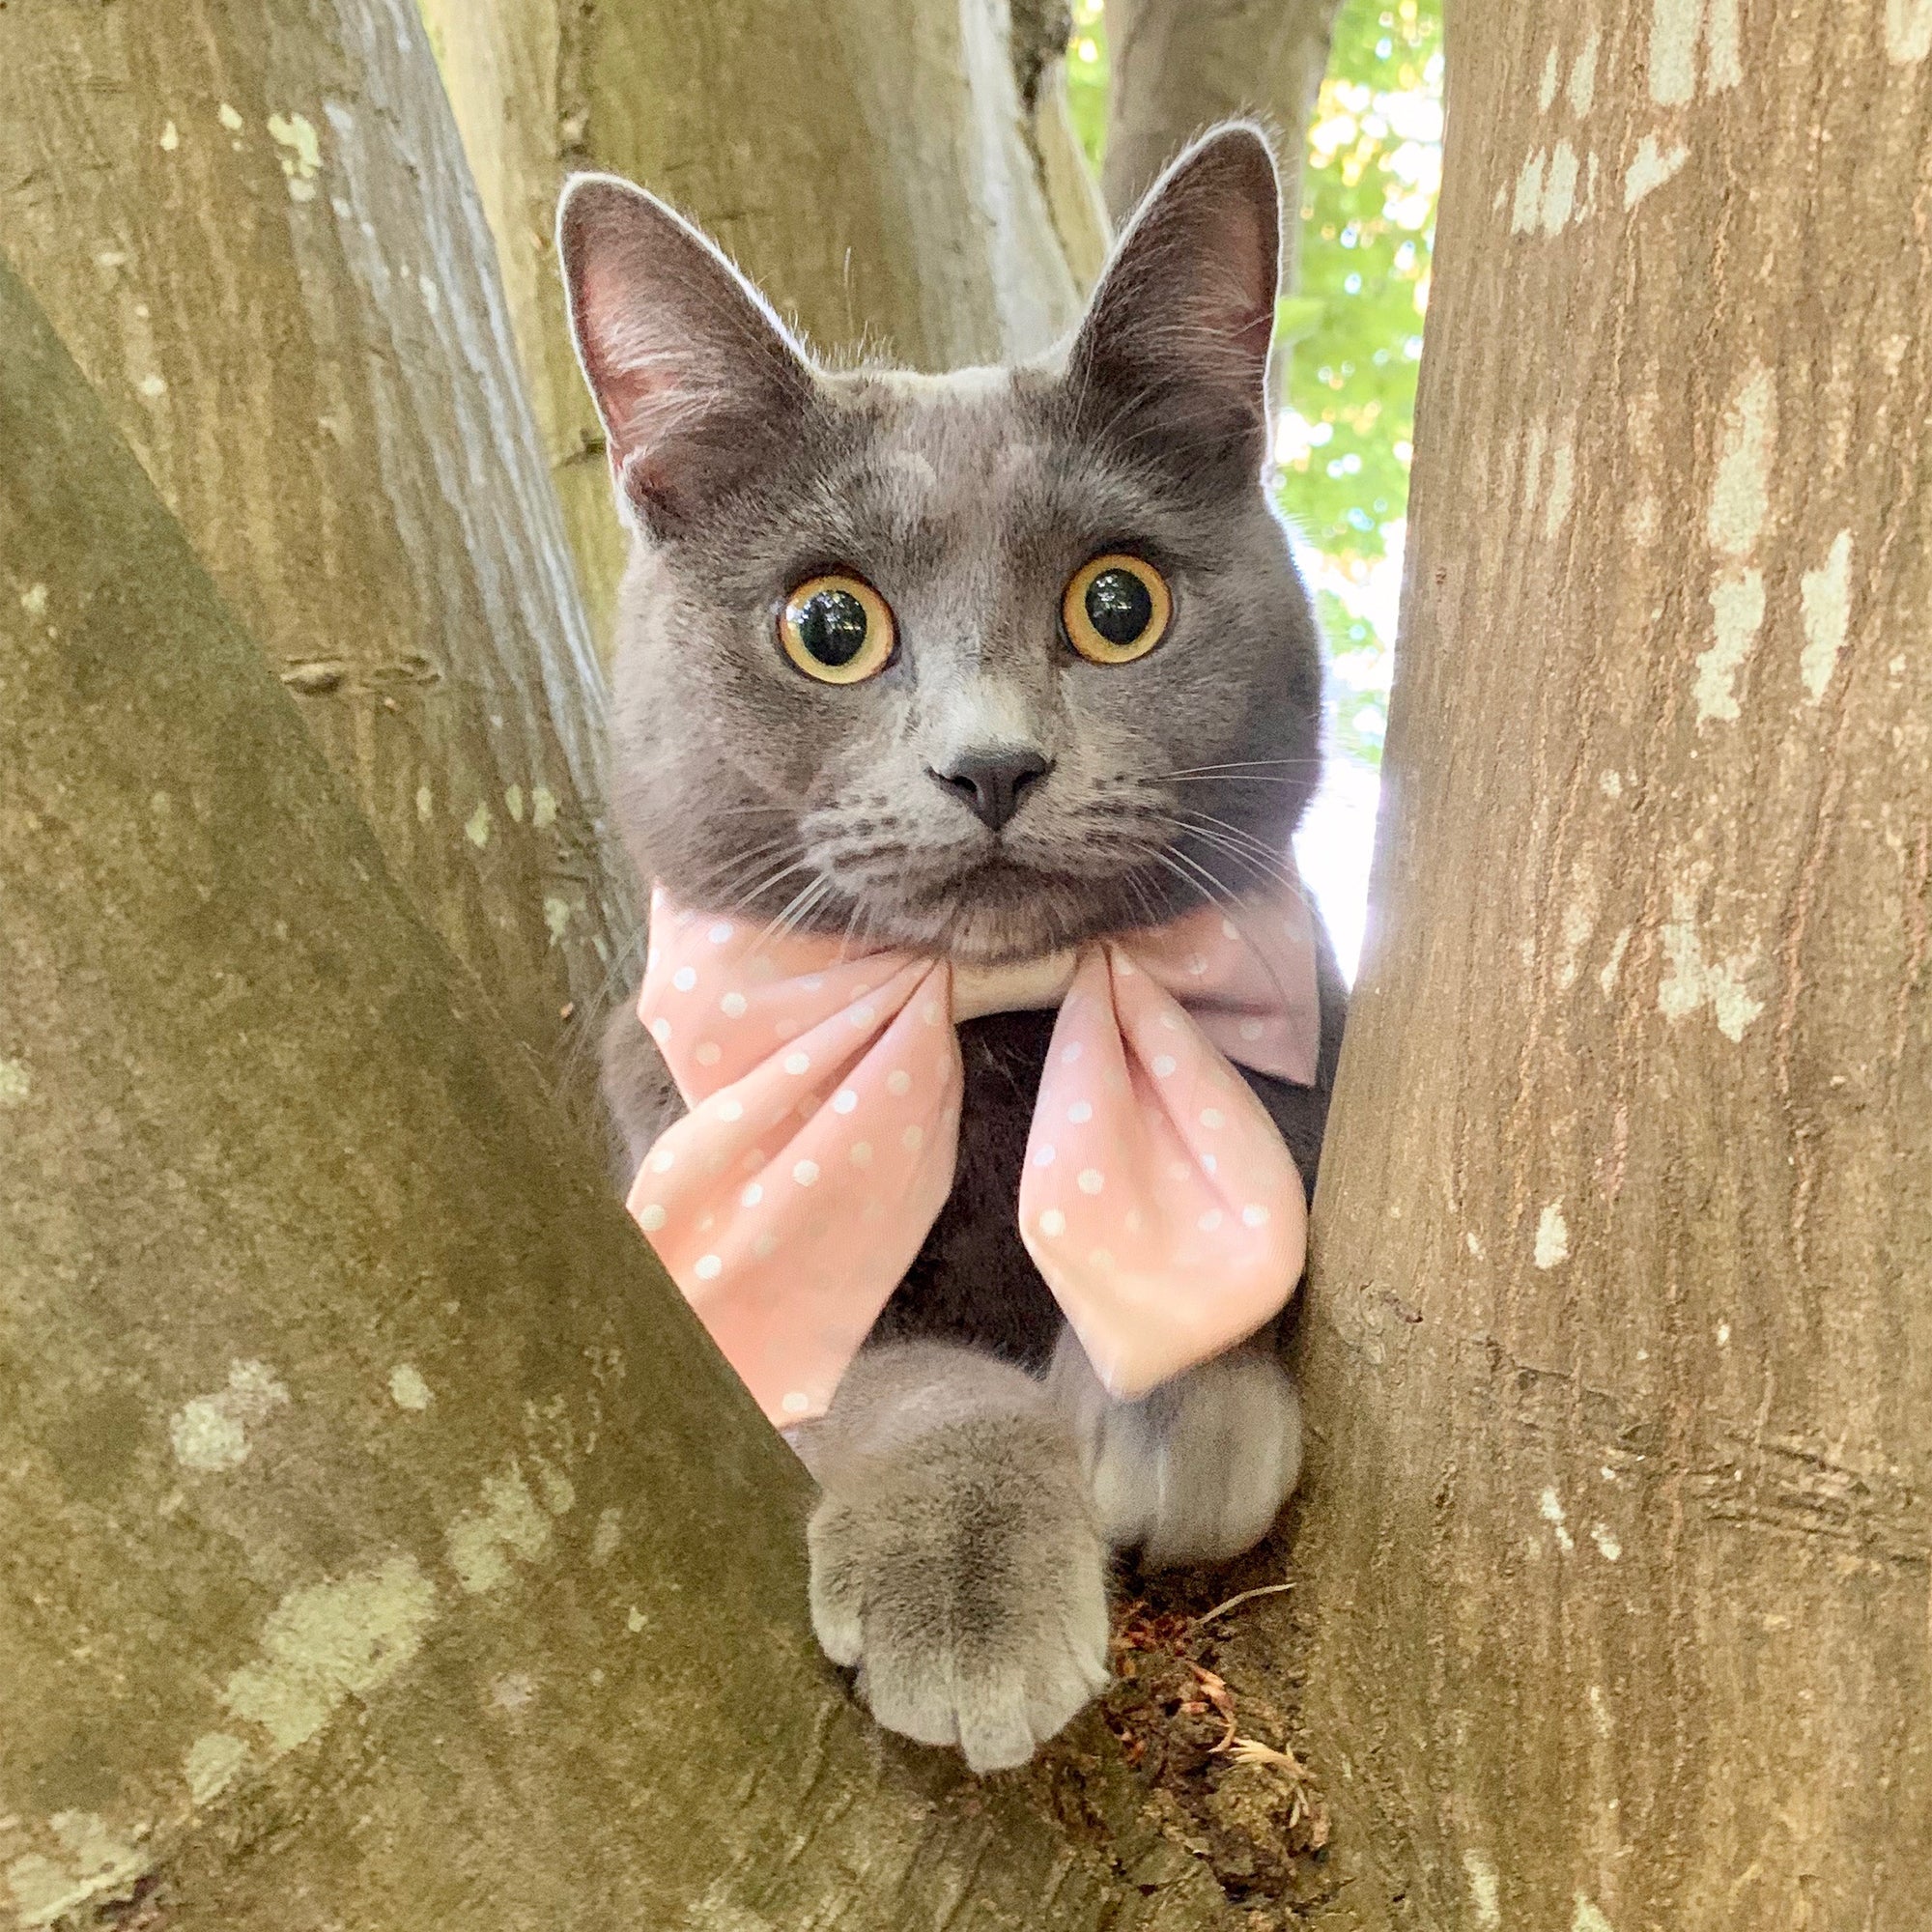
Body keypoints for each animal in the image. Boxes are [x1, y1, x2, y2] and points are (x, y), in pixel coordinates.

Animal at [560, 121, 1345, 1770]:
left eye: (1118, 603)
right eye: (829, 626)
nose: (991, 765)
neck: (997, 1039)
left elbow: (1224, 1263)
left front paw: (1179, 1413)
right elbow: (905, 1377)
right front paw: (971, 1592)